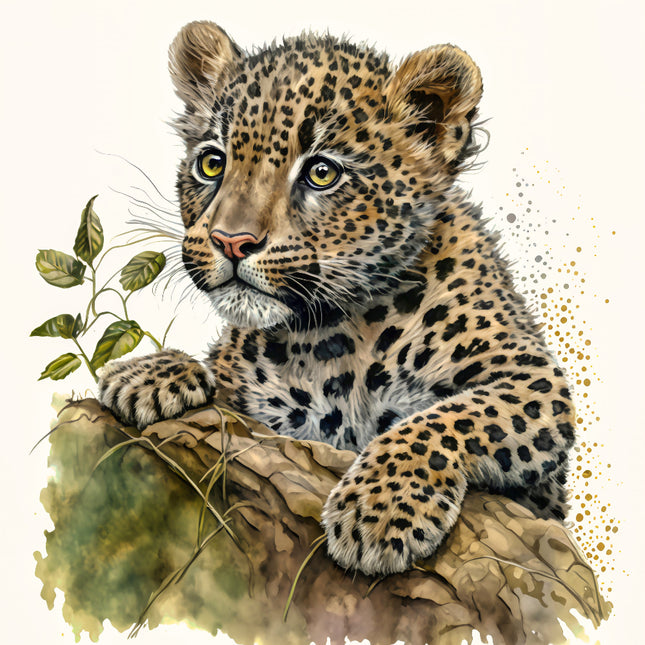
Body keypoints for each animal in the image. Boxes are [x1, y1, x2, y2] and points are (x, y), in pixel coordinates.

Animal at [98, 20, 576, 576]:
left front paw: (379, 509)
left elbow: (446, 418)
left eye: (321, 172)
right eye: (213, 163)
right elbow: (220, 374)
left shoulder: (533, 380)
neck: (330, 337)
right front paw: (150, 374)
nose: (231, 241)